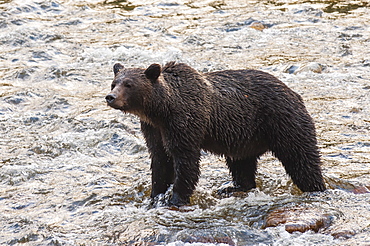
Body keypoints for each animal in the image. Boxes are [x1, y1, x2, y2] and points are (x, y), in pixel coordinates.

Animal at [105, 61, 326, 206]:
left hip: (282, 122)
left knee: (301, 158)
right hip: (245, 137)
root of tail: (294, 93)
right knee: (242, 164)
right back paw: (233, 187)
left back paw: (316, 188)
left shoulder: (184, 123)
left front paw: (175, 198)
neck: (161, 109)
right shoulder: (153, 129)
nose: (110, 97)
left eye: (129, 84)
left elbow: (185, 162)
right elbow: (160, 160)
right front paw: (155, 195)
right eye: (114, 82)